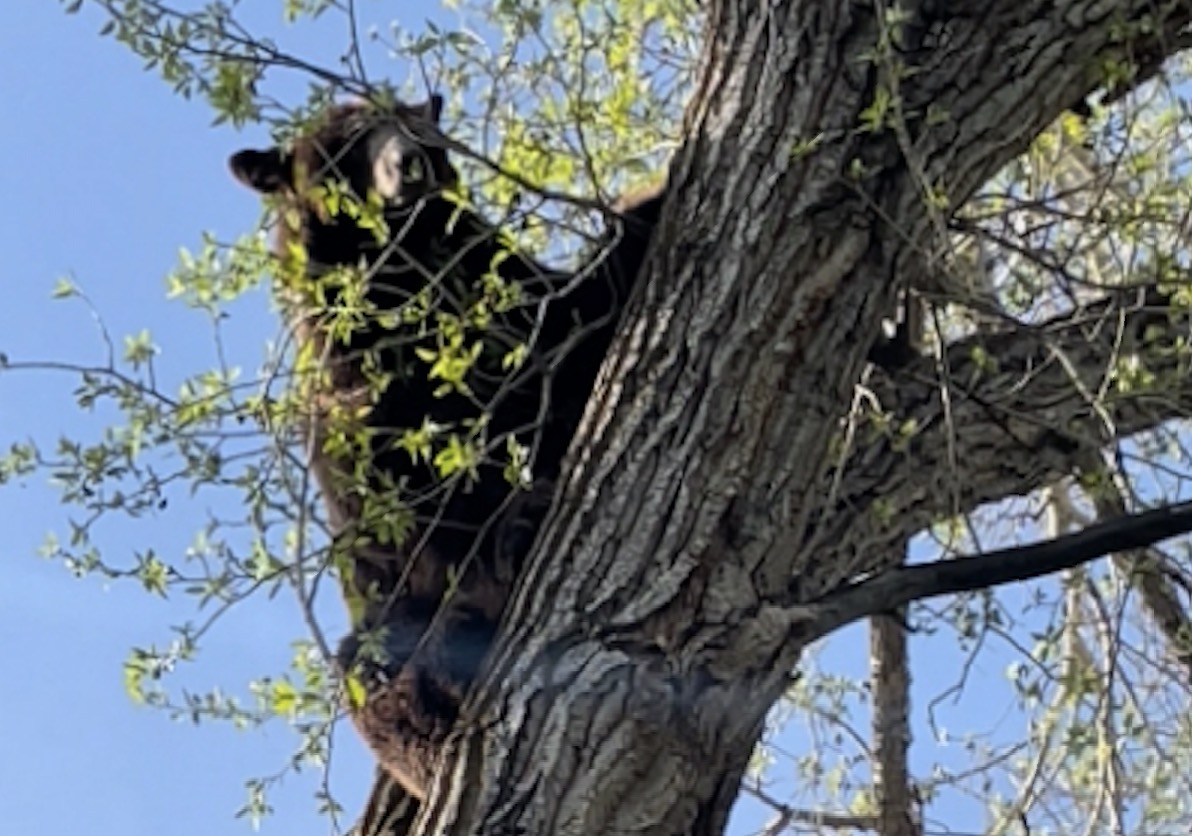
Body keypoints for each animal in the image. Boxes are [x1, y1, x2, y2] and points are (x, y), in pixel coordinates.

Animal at [230, 93, 662, 796]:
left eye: (416, 120)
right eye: (348, 143)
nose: (412, 162)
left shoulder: (512, 311)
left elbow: (580, 313)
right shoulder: (366, 423)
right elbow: (430, 518)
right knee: (373, 669)